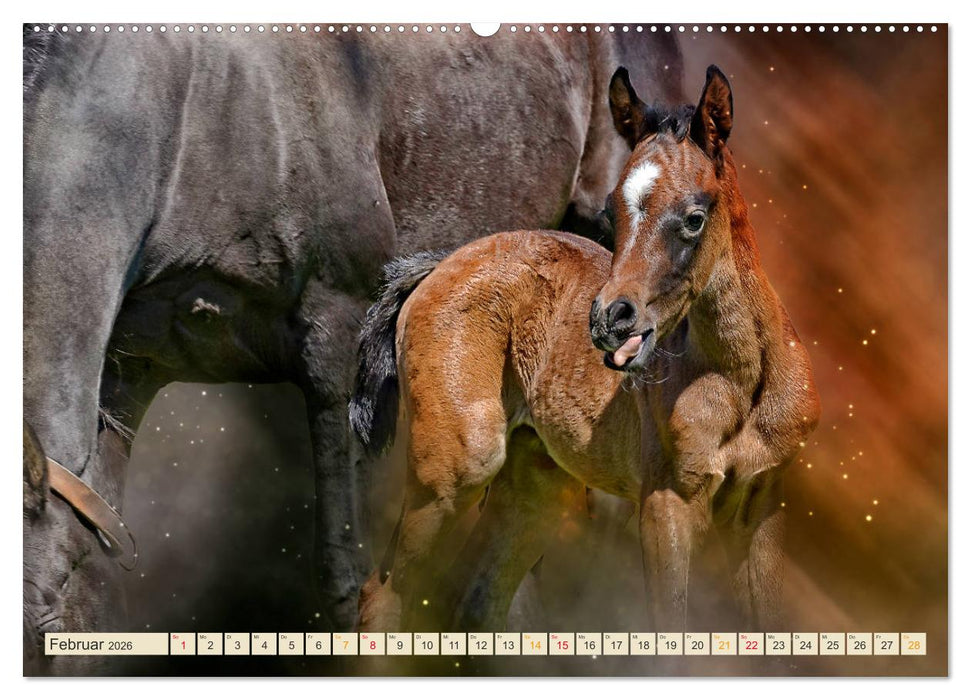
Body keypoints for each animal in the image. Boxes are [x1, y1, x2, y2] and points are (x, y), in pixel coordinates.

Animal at [351, 65, 820, 633]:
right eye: (613, 214)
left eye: (694, 217)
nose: (609, 320)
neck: (741, 383)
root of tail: (442, 262)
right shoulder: (667, 502)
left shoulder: (763, 510)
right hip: (456, 466)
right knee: (385, 592)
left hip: (536, 484)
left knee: (478, 601)